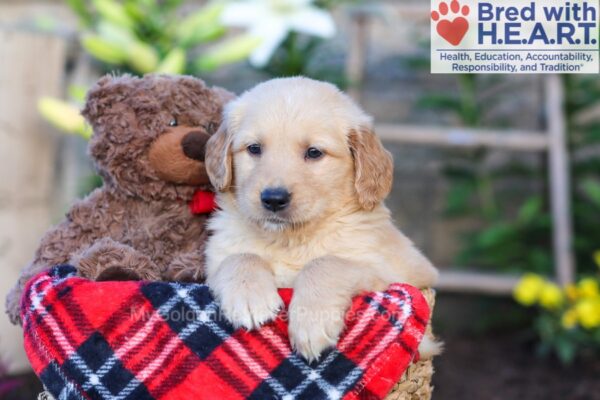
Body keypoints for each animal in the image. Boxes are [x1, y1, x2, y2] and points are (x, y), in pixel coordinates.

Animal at [204, 76, 438, 360]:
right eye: (254, 149)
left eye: (314, 152)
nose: (273, 199)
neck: (291, 240)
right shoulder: (212, 264)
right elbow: (240, 257)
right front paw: (248, 297)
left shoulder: (392, 277)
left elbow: (326, 263)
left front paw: (311, 323)